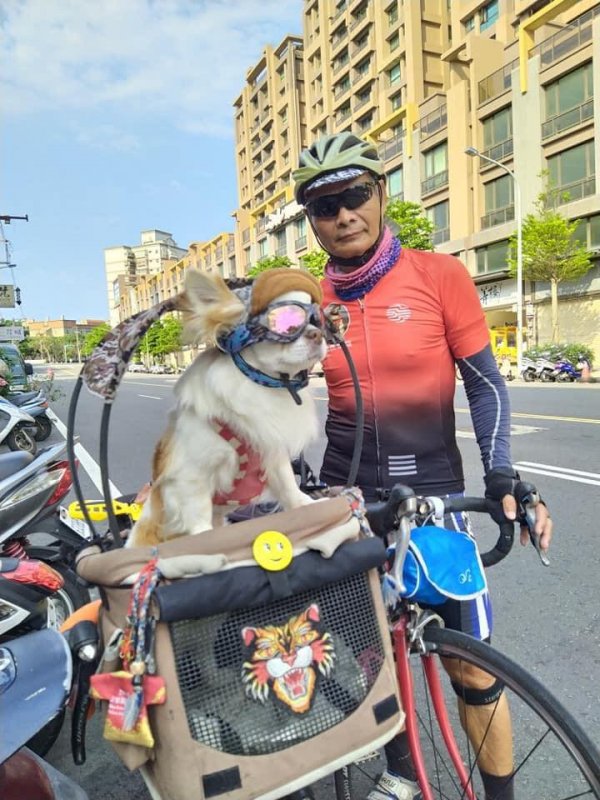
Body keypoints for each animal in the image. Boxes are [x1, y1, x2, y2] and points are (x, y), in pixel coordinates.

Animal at [126, 267, 327, 548]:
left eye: (316, 320)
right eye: (286, 322)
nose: (317, 334)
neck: (262, 386)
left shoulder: (273, 453)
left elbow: (289, 485)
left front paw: (307, 505)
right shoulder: (192, 475)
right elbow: (198, 513)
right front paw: (206, 538)